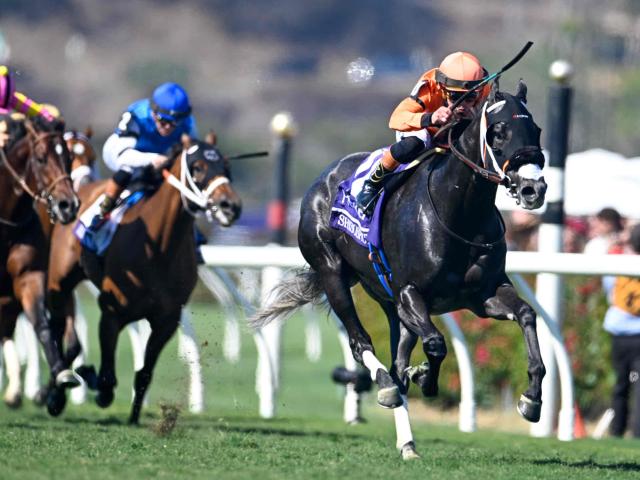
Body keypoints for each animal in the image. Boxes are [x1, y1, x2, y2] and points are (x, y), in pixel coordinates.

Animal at [0, 115, 80, 407]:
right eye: (41, 158)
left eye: (68, 157)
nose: (68, 205)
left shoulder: (30, 277)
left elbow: (43, 327)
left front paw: (61, 373)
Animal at [46, 132, 242, 423]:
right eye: (197, 167)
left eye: (226, 167)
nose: (231, 206)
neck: (160, 248)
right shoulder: (112, 311)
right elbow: (107, 377)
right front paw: (92, 380)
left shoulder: (167, 320)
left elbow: (144, 374)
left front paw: (134, 417)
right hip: (59, 281)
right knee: (57, 329)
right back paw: (54, 394)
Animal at [250, 80, 548, 459]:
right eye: (498, 131)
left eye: (536, 130)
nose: (533, 189)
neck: (459, 213)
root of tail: (323, 178)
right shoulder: (411, 293)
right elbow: (436, 344)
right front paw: (426, 378)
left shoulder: (483, 295)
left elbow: (526, 315)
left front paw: (532, 399)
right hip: (333, 273)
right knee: (361, 344)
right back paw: (387, 386)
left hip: (388, 301)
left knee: (397, 359)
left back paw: (407, 441)